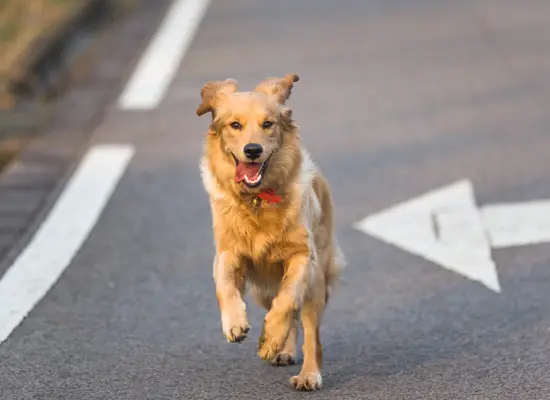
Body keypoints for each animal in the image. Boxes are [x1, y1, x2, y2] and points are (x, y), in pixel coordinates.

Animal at [197, 72, 344, 390]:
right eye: (235, 125)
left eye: (268, 124)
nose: (252, 150)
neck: (257, 199)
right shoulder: (227, 252)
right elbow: (224, 286)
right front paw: (234, 323)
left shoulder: (302, 256)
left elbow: (287, 301)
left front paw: (272, 337)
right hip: (260, 290)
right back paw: (281, 350)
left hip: (317, 281)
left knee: (307, 328)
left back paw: (306, 372)